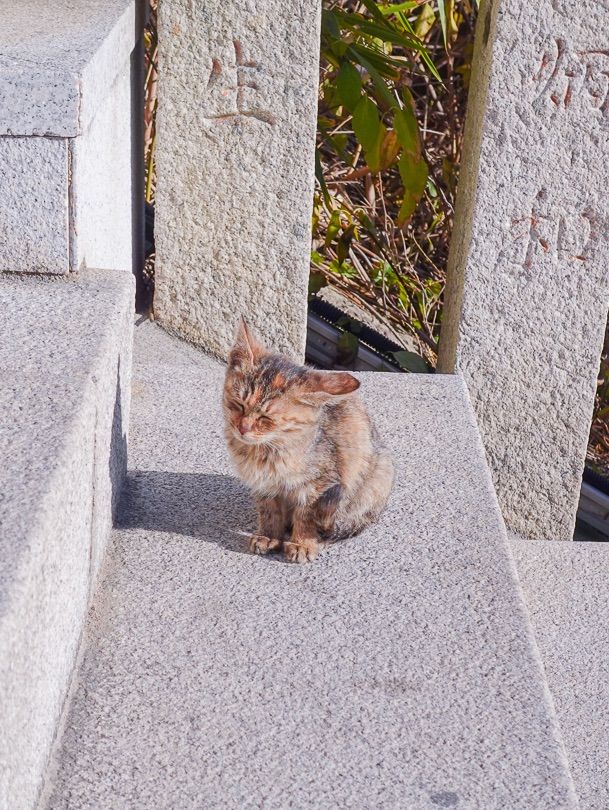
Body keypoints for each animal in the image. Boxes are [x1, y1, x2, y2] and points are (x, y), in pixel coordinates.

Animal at [223, 318, 394, 560]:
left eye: (266, 418)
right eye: (239, 404)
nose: (242, 428)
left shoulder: (319, 485)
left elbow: (307, 516)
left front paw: (302, 543)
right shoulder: (263, 485)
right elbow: (269, 510)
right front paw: (268, 535)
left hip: (378, 476)